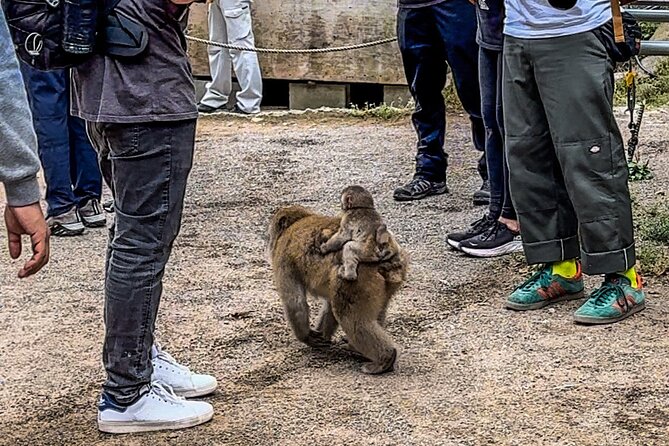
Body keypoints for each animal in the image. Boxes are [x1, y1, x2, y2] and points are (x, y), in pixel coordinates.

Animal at [267, 205, 408, 374]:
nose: (270, 241)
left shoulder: (283, 259)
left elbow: (294, 302)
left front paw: (306, 337)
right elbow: (328, 306)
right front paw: (321, 337)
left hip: (358, 278)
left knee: (350, 317)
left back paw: (385, 359)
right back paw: (360, 351)